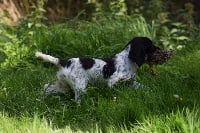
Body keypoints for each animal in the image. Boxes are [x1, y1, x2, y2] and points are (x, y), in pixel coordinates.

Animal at [36, 37, 175, 104]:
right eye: (150, 46)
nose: (161, 50)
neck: (127, 60)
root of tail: (64, 62)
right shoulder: (113, 82)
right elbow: (114, 91)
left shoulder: (131, 81)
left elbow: (142, 87)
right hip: (80, 86)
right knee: (76, 99)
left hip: (63, 85)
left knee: (46, 87)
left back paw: (40, 99)